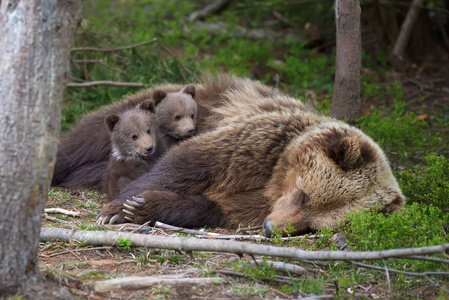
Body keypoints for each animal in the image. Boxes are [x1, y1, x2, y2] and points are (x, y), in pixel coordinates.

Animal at [96, 83, 404, 236]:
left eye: (314, 224)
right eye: (303, 196)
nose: (270, 228)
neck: (275, 179)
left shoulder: (257, 203)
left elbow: (214, 207)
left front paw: (144, 206)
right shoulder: (259, 143)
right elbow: (187, 165)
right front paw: (117, 209)